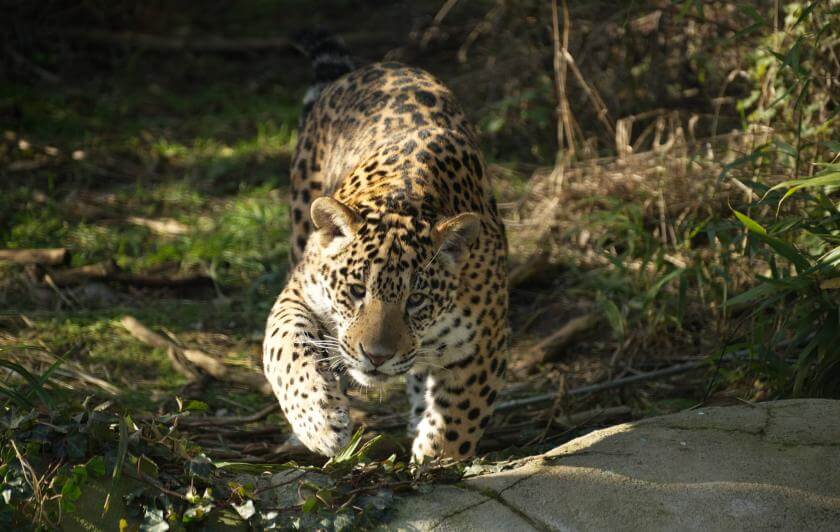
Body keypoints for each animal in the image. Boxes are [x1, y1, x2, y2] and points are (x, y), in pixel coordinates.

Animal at [263, 32, 509, 462]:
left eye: (416, 301)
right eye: (356, 291)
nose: (376, 357)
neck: (406, 197)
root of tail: (373, 67)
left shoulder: (485, 339)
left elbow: (460, 414)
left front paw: (435, 459)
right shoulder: (299, 292)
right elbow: (286, 346)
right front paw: (320, 422)